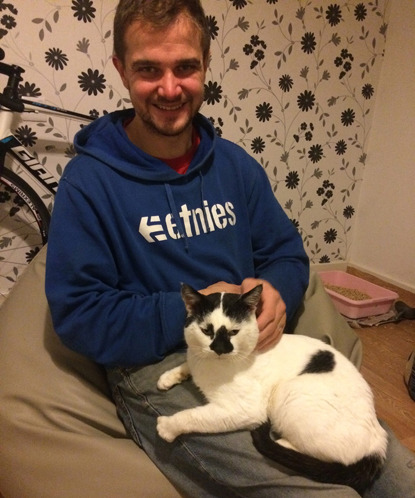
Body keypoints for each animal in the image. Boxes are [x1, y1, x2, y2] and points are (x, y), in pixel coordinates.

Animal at [158, 284, 388, 494]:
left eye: (234, 332)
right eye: (207, 330)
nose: (220, 350)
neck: (210, 365)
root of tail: (378, 441)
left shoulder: (245, 409)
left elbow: (193, 416)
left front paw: (168, 426)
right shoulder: (196, 357)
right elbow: (188, 363)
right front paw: (169, 377)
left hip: (289, 393)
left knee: (329, 456)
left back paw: (281, 442)